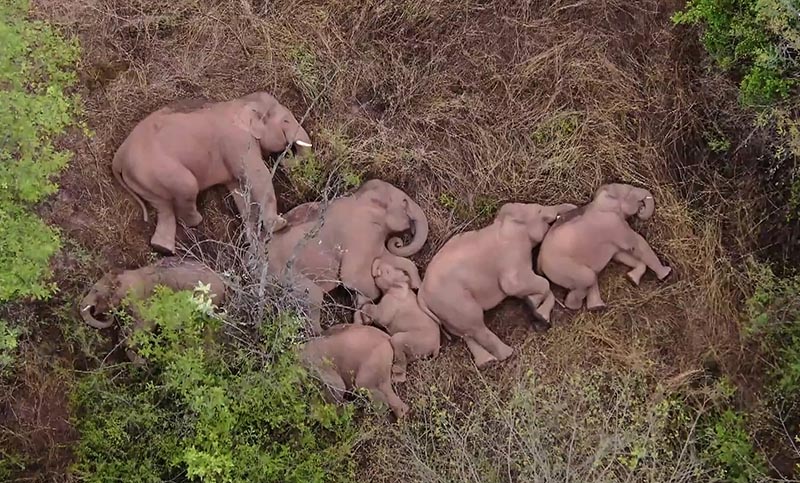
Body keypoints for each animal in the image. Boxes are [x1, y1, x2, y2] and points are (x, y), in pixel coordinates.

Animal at [112, 92, 312, 255]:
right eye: (286, 121)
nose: (285, 159)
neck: (242, 102)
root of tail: (119, 156)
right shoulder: (238, 142)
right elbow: (257, 175)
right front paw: (279, 224)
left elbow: (239, 189)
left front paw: (252, 241)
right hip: (159, 169)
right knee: (187, 187)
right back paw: (196, 221)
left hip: (143, 179)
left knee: (163, 207)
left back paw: (163, 249)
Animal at [416, 202, 580, 368]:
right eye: (539, 210)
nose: (573, 207)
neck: (504, 223)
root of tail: (421, 294)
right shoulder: (512, 254)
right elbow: (517, 285)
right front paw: (534, 306)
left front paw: (536, 309)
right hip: (454, 301)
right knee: (476, 325)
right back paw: (507, 354)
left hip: (444, 310)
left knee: (464, 332)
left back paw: (487, 362)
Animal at [536, 183, 676, 312]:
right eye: (629, 192)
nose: (641, 208)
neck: (599, 201)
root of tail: (539, 262)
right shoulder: (614, 224)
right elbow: (637, 244)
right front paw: (666, 273)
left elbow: (620, 255)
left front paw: (632, 279)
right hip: (562, 267)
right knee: (588, 278)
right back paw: (577, 306)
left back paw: (597, 307)